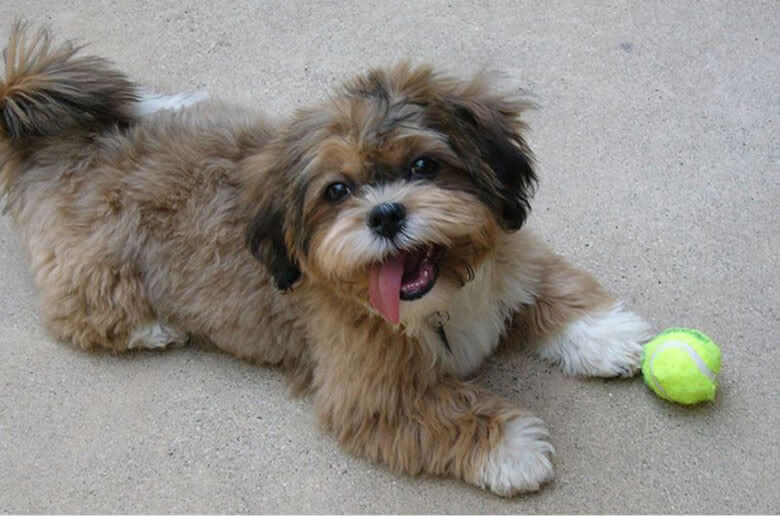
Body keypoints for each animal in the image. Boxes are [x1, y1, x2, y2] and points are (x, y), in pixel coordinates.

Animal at [0, 24, 652, 496]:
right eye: (336, 191)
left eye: (423, 165)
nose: (385, 214)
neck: (441, 301)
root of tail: (61, 147)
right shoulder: (370, 392)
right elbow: (446, 411)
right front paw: (511, 446)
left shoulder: (512, 265)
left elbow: (553, 287)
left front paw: (604, 333)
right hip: (95, 271)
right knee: (78, 314)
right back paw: (153, 328)